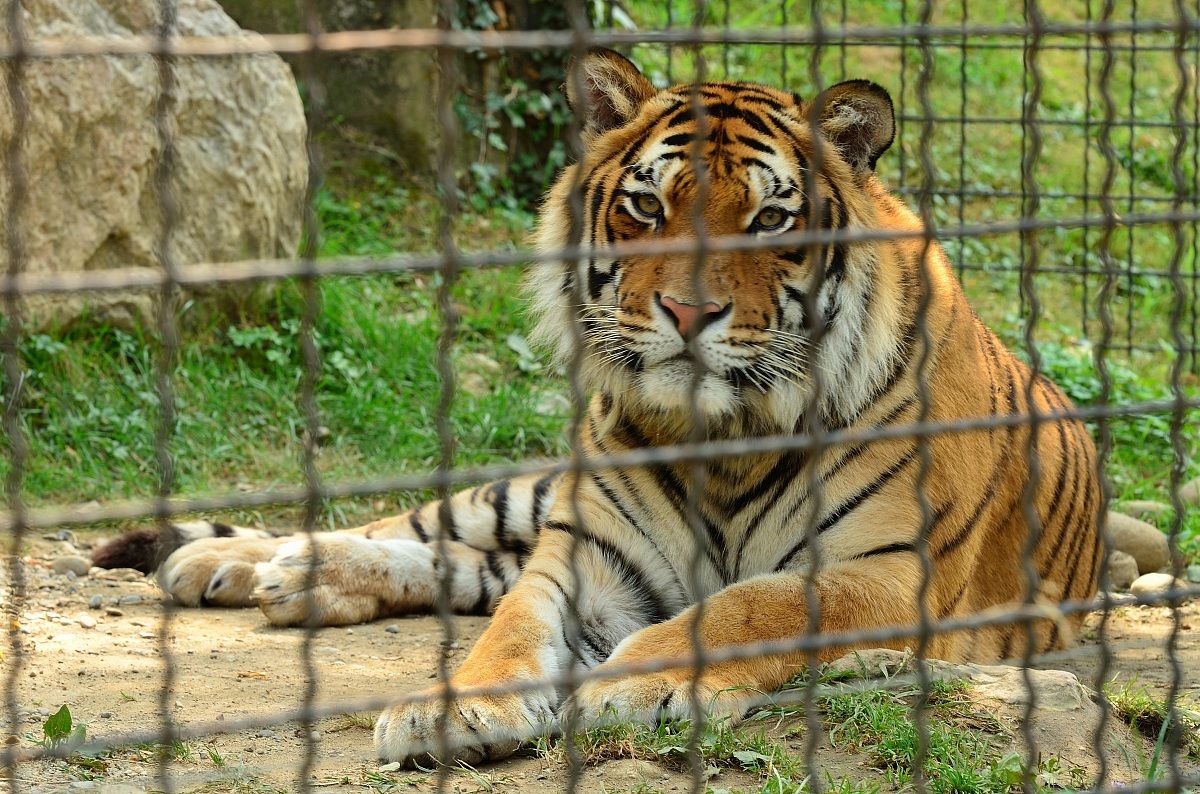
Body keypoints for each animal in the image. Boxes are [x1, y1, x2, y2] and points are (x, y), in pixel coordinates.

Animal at [92, 48, 1103, 766]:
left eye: (772, 220)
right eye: (648, 207)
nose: (690, 313)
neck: (724, 438)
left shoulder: (887, 573)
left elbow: (745, 606)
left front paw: (630, 686)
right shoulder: (583, 554)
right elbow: (507, 632)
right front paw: (458, 707)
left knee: (465, 566)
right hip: (533, 495)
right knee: (421, 532)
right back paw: (241, 564)